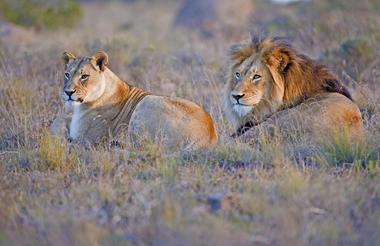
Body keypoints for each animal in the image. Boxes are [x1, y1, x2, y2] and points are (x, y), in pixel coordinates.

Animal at [51, 51, 217, 149]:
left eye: (84, 76)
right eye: (67, 74)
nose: (68, 92)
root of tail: (209, 134)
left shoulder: (85, 139)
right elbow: (59, 120)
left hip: (147, 102)